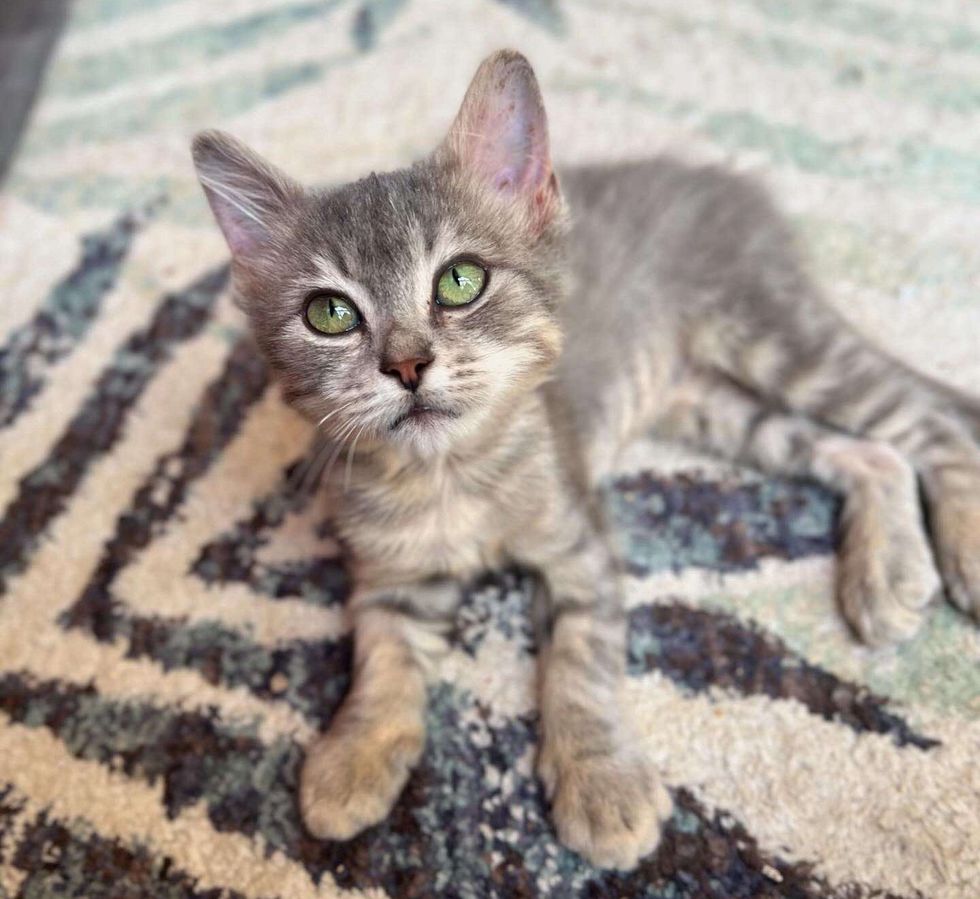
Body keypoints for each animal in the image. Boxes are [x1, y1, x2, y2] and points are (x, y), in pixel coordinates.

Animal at [191, 49, 980, 872]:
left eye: (459, 280)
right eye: (330, 313)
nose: (405, 364)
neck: (450, 478)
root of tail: (719, 175)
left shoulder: (582, 542)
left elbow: (581, 661)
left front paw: (602, 782)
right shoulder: (390, 577)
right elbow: (381, 658)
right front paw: (354, 755)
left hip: (781, 341)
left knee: (930, 423)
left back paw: (959, 555)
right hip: (723, 407)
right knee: (873, 451)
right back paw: (886, 573)